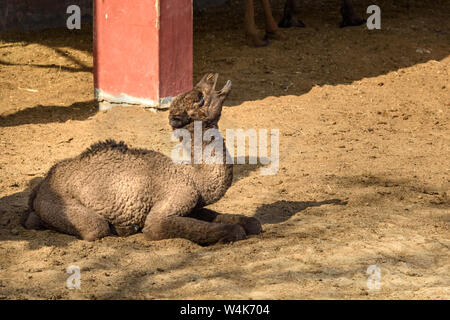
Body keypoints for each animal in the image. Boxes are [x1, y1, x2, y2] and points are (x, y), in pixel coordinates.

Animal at [22, 74, 262, 244]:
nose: (210, 77)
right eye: (199, 98)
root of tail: (42, 184)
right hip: (58, 203)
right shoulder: (173, 202)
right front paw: (234, 231)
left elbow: (243, 220)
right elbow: (162, 227)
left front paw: (249, 223)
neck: (194, 178)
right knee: (94, 227)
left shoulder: (195, 205)